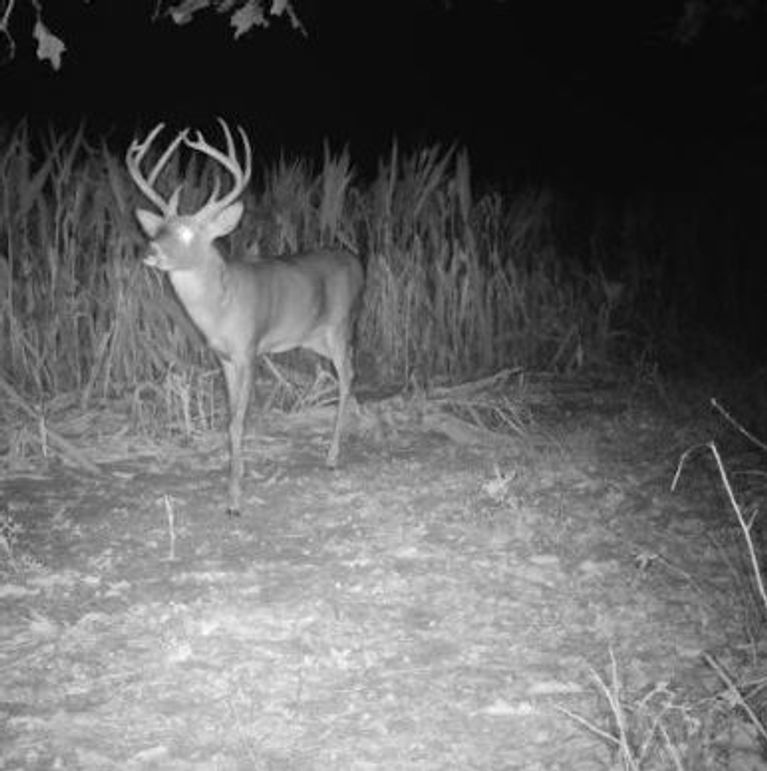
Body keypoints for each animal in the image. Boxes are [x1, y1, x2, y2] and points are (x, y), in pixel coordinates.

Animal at [126, 119, 364, 517]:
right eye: (158, 229)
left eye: (188, 232)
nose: (149, 251)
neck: (221, 305)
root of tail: (357, 262)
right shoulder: (223, 357)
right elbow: (229, 419)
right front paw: (234, 476)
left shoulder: (249, 350)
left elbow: (238, 423)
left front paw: (234, 499)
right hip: (316, 338)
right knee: (347, 373)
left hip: (339, 325)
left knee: (347, 377)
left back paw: (332, 456)